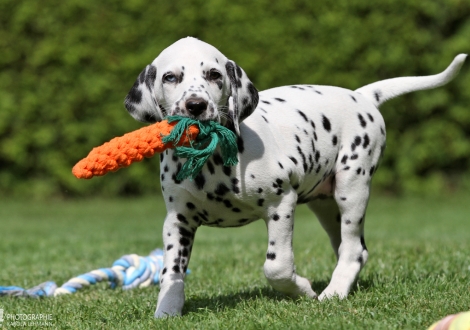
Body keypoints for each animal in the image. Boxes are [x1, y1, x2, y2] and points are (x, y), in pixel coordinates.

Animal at [123, 37, 464, 318]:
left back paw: (333, 293)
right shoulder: (178, 220)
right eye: (170, 77)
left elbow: (277, 266)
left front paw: (302, 290)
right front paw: (167, 310)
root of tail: (361, 96)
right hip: (325, 205)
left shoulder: (281, 203)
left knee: (353, 249)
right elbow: (172, 273)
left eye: (214, 75)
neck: (213, 160)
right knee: (349, 247)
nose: (196, 105)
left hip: (351, 188)